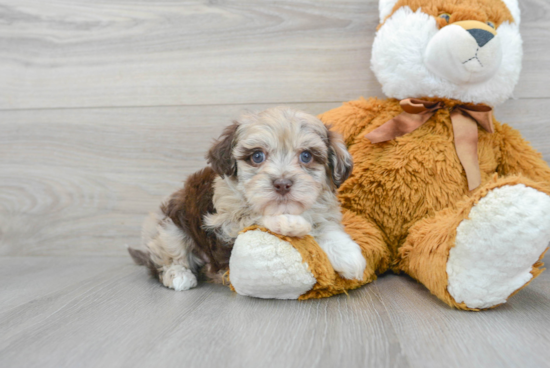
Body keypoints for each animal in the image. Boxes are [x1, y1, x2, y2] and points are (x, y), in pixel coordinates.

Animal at [129, 106, 366, 290]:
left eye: (306, 156)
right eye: (257, 156)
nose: (282, 184)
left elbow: (327, 227)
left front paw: (348, 255)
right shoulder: (225, 221)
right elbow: (255, 216)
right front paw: (289, 222)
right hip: (169, 227)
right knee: (167, 256)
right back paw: (179, 276)